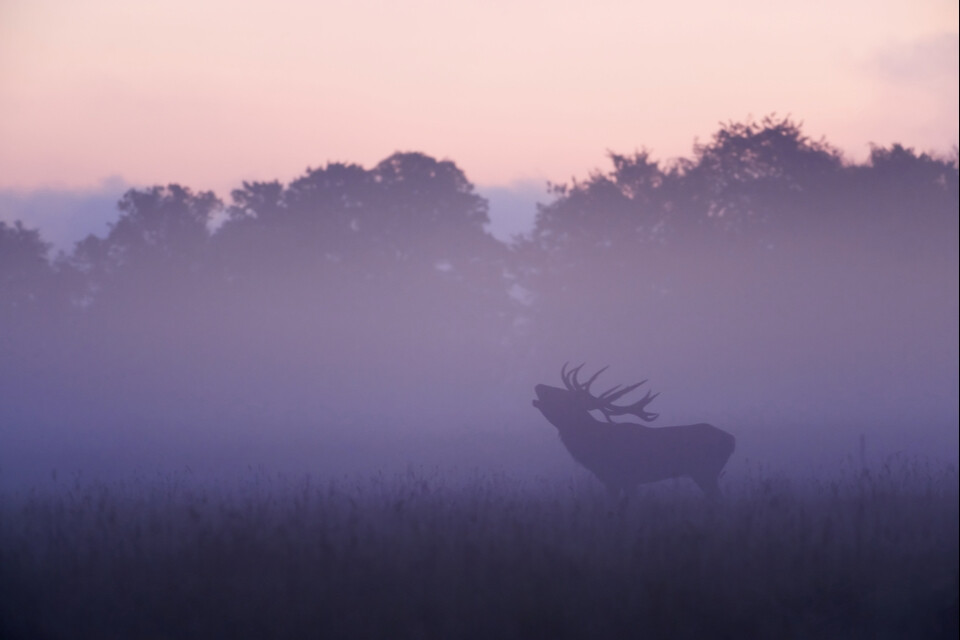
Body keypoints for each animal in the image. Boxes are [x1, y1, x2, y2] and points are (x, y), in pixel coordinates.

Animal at [532, 362, 736, 498]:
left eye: (564, 396)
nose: (539, 385)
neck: (593, 446)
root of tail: (732, 440)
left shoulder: (626, 477)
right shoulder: (611, 480)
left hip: (706, 471)